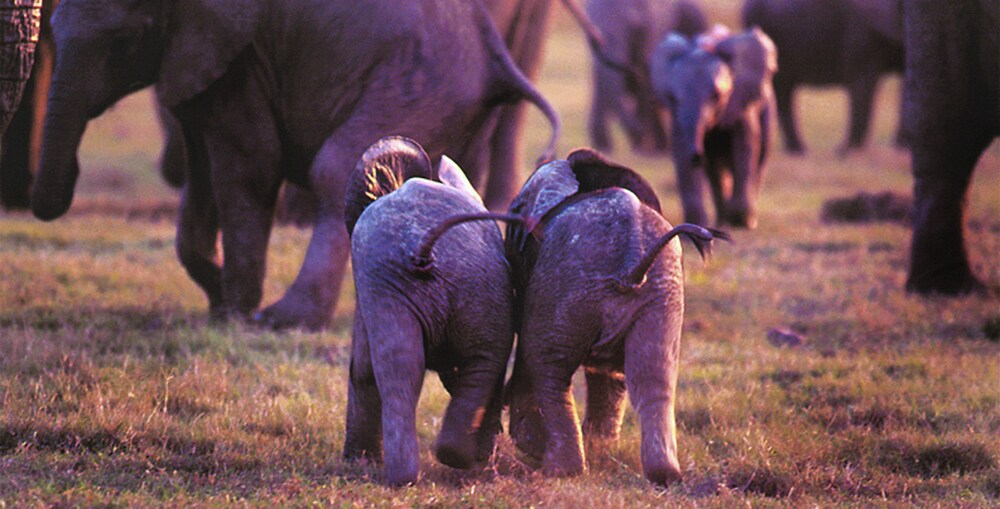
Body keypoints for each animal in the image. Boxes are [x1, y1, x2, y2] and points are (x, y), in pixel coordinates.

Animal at [29, 0, 560, 330]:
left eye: (124, 40)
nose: (70, 177)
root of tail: (496, 54)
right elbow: (203, 175)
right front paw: (218, 303)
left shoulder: (239, 56)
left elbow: (249, 168)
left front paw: (237, 315)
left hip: (418, 84)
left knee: (338, 170)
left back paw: (286, 321)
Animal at [342, 137, 516, 485]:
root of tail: (422, 248)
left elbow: (364, 369)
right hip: (477, 287)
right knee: (479, 362)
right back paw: (454, 459)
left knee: (400, 368)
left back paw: (409, 475)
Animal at [501, 148, 724, 486]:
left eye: (515, 209)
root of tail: (631, 263)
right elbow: (611, 371)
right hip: (660, 296)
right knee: (653, 373)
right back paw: (662, 475)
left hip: (571, 285)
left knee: (548, 365)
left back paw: (559, 470)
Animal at [650, 27, 778, 228]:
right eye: (672, 97)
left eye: (716, 95)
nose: (697, 155)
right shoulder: (677, 117)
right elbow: (680, 151)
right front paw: (697, 226)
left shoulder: (740, 100)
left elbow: (745, 144)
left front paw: (739, 221)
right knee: (714, 171)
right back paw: (721, 221)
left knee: (760, 156)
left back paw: (746, 221)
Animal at [742, 0, 905, 154]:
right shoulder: (860, 31)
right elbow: (862, 81)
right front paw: (845, 152)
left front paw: (900, 147)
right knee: (783, 91)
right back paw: (799, 151)